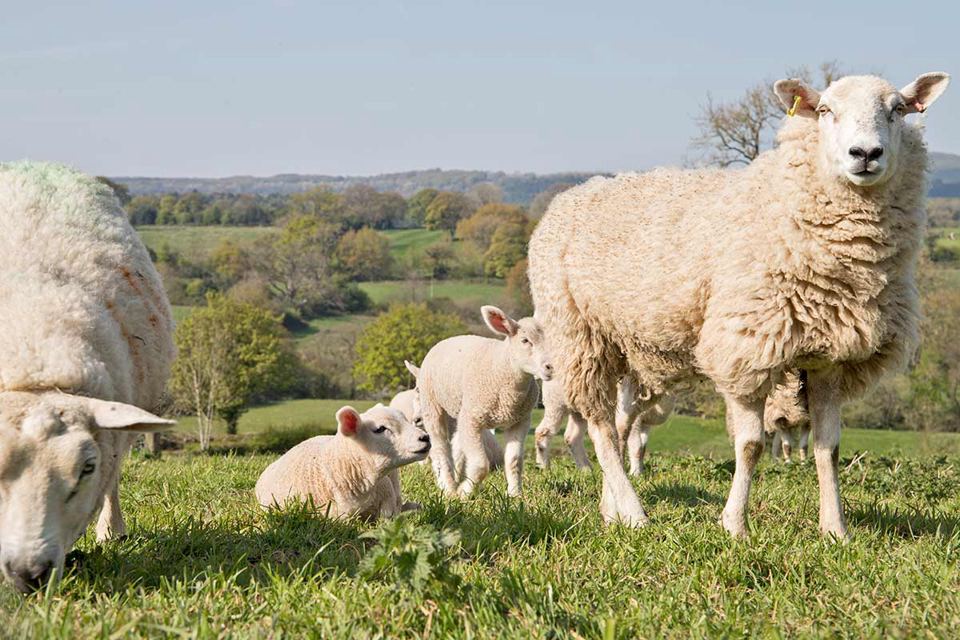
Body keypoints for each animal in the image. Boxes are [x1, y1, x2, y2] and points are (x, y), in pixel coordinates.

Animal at [417, 306, 553, 497]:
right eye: (525, 340)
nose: (551, 367)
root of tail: (449, 339)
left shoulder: (520, 421)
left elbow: (514, 461)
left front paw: (515, 495)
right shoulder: (472, 419)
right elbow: (481, 464)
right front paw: (464, 492)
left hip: (461, 412)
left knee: (456, 444)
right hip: (432, 404)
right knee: (440, 446)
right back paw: (448, 487)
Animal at [528, 73, 949, 537]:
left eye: (898, 109)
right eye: (825, 110)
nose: (866, 154)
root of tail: (572, 195)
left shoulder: (829, 358)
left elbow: (829, 448)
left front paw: (835, 530)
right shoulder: (746, 349)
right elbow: (750, 446)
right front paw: (734, 525)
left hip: (623, 344)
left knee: (618, 427)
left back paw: (611, 509)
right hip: (578, 334)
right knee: (600, 428)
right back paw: (635, 514)